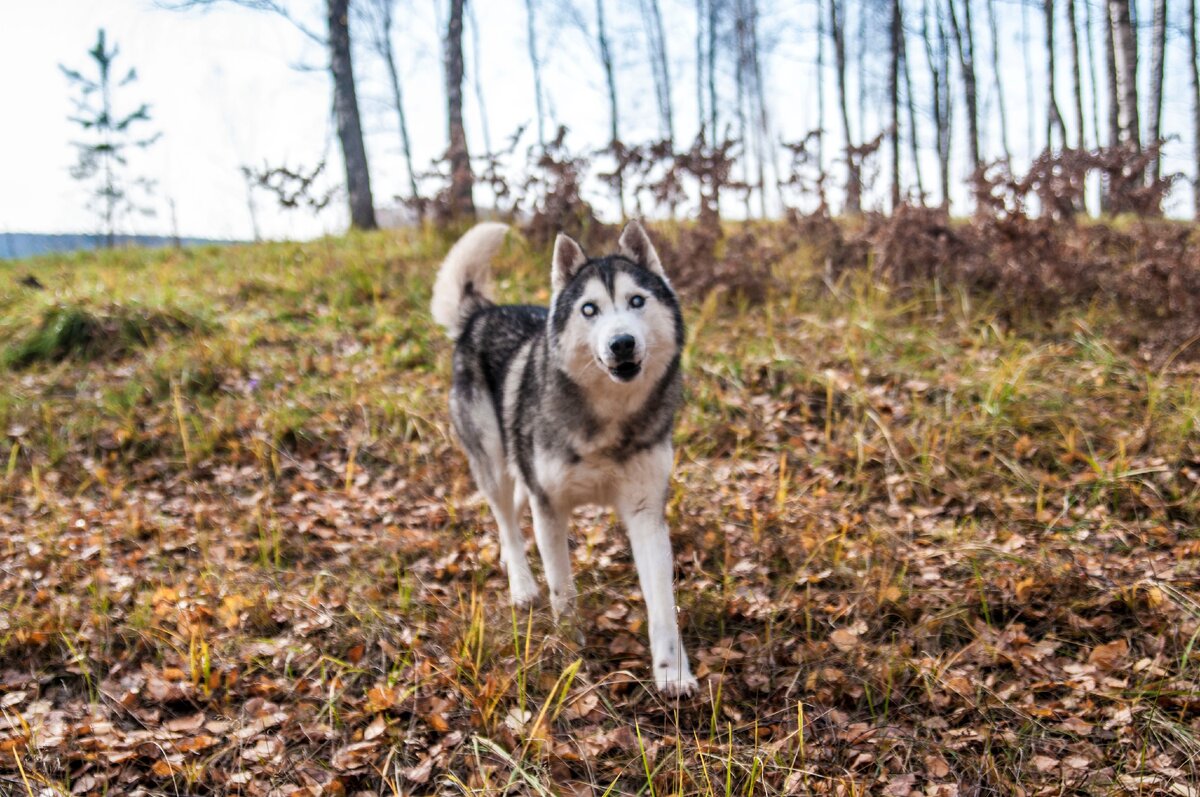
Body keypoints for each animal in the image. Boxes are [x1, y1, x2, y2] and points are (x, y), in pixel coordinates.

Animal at [432, 220, 700, 696]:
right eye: (590, 309)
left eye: (636, 301)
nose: (621, 343)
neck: (609, 420)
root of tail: (484, 311)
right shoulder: (550, 507)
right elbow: (563, 589)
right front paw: (568, 649)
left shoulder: (646, 511)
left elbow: (662, 607)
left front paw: (673, 674)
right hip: (494, 463)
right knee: (505, 517)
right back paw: (521, 582)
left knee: (514, 511)